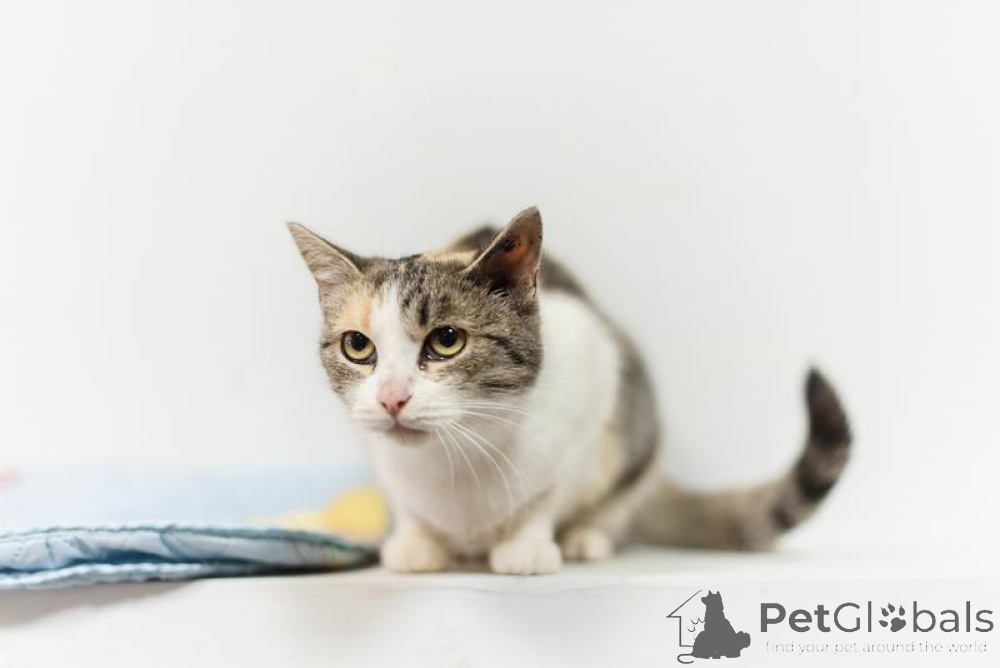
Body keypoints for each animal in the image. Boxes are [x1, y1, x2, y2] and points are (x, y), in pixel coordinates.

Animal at [288, 206, 852, 574]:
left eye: (446, 340)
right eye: (358, 346)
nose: (391, 398)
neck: (454, 457)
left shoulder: (594, 385)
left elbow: (546, 492)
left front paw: (527, 544)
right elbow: (408, 506)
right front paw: (416, 543)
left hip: (638, 432)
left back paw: (589, 537)